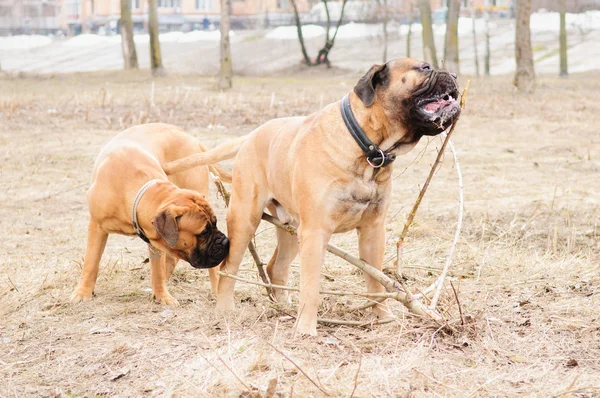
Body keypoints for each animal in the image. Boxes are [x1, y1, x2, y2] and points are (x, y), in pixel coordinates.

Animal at [69, 123, 230, 306]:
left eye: (215, 223)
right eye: (203, 232)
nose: (225, 241)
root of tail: (191, 138)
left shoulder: (156, 239)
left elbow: (157, 270)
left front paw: (162, 296)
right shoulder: (97, 227)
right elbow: (91, 262)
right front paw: (83, 292)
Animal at [164, 57, 460, 334]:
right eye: (425, 68)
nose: (455, 75)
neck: (367, 148)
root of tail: (251, 135)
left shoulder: (373, 230)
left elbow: (376, 281)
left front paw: (383, 317)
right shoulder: (316, 231)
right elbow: (311, 286)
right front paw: (306, 328)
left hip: (292, 229)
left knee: (276, 268)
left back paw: (282, 306)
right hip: (245, 219)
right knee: (230, 268)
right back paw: (225, 310)